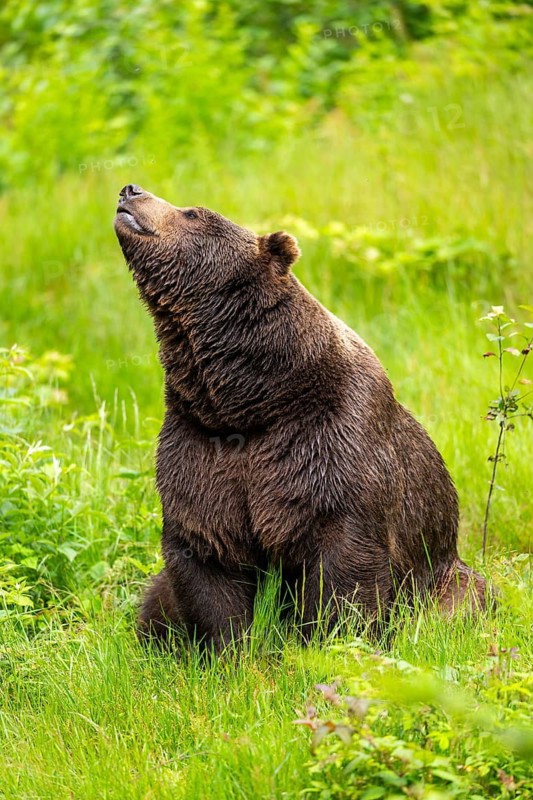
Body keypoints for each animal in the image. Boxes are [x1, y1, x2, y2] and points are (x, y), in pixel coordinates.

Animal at [113, 183, 487, 651]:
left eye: (194, 212)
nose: (130, 190)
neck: (252, 398)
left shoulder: (332, 441)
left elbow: (344, 563)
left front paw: (331, 642)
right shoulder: (200, 440)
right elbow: (207, 553)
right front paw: (229, 649)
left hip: (443, 577)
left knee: (461, 601)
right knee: (156, 601)